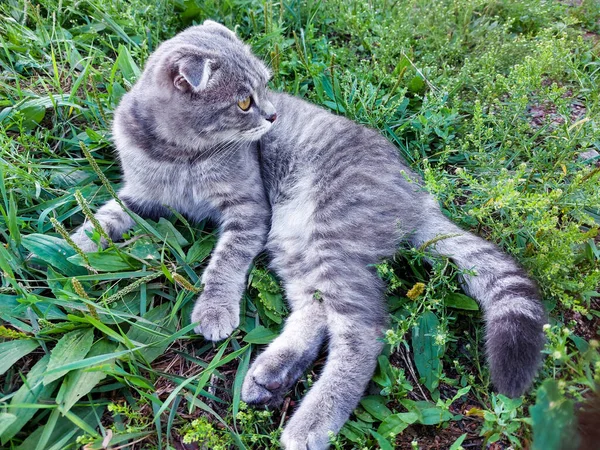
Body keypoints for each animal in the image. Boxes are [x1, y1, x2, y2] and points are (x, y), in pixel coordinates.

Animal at [68, 21, 548, 450]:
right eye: (244, 100)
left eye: (265, 87)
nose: (272, 114)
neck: (179, 154)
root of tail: (420, 196)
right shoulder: (142, 195)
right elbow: (105, 215)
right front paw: (74, 249)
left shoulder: (250, 210)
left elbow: (226, 261)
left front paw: (215, 306)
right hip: (292, 243)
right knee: (316, 310)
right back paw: (270, 375)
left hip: (326, 234)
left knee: (362, 330)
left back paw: (313, 421)